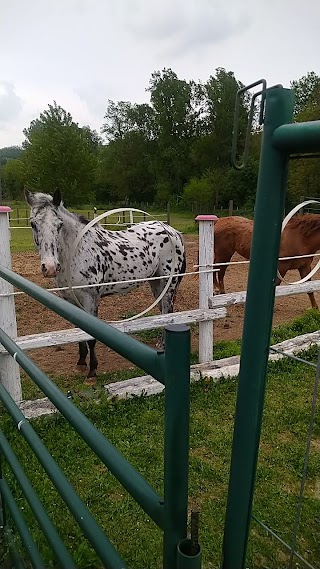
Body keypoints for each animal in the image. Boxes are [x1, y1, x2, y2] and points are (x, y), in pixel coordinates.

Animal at [26, 190, 186, 382]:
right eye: (33, 224)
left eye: (59, 225)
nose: (49, 267)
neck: (76, 251)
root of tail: (173, 232)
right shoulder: (71, 300)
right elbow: (78, 331)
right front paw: (81, 362)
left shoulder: (90, 299)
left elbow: (91, 337)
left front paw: (92, 372)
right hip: (156, 283)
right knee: (163, 310)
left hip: (168, 284)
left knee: (167, 312)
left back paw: (163, 346)